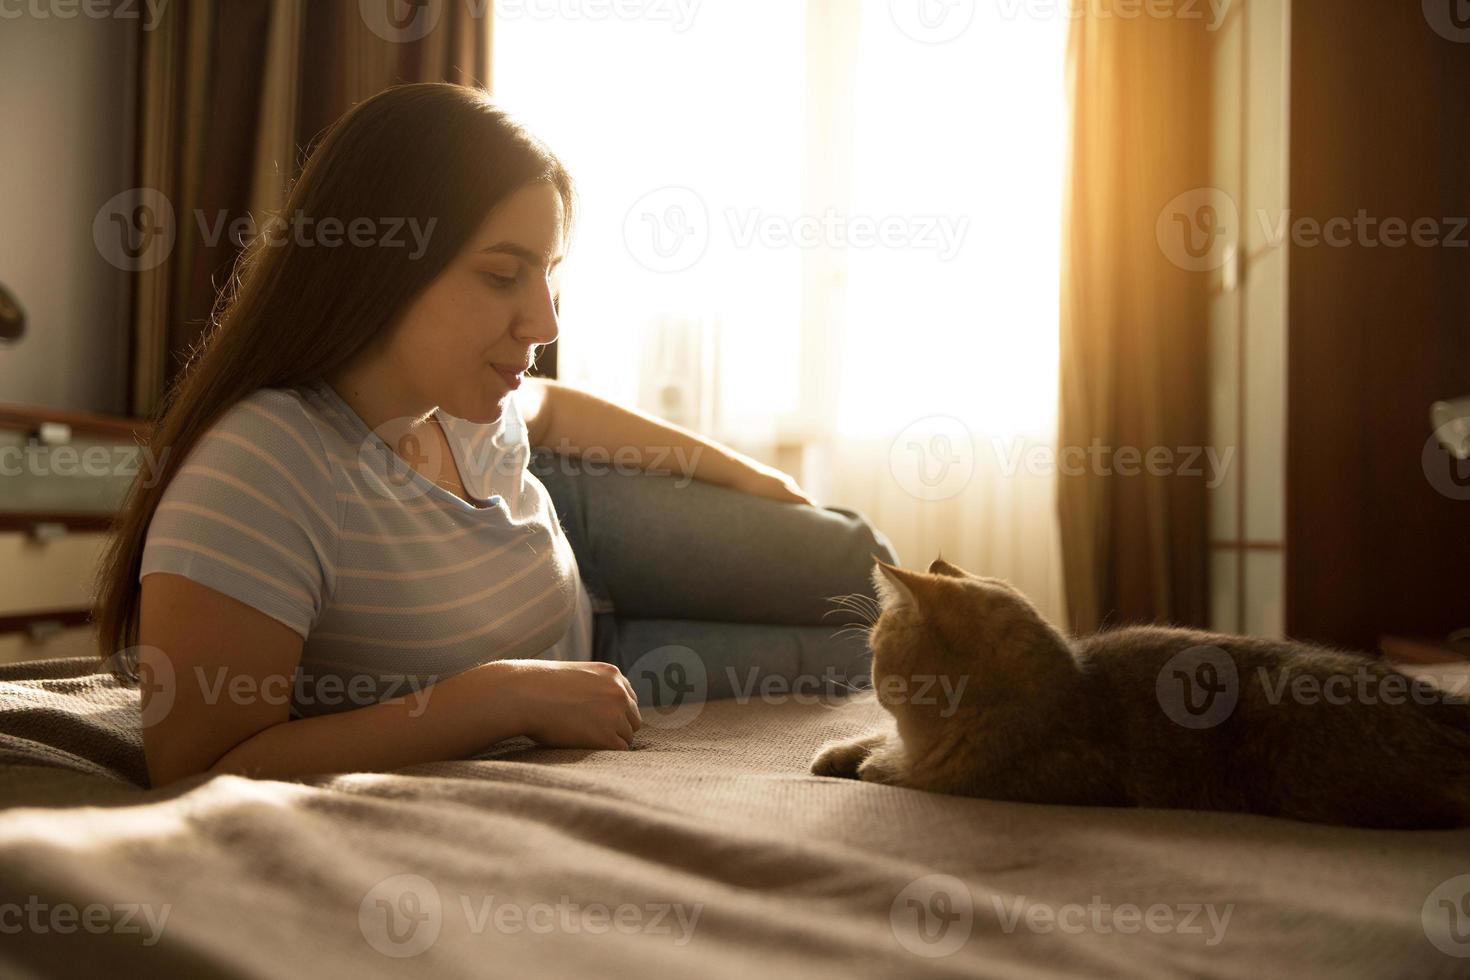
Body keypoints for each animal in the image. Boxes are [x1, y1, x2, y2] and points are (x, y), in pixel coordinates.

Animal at [817, 558, 1470, 828]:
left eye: (875, 647)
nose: (868, 675)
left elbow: (891, 770)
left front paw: (870, 766)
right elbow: (868, 743)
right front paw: (838, 754)